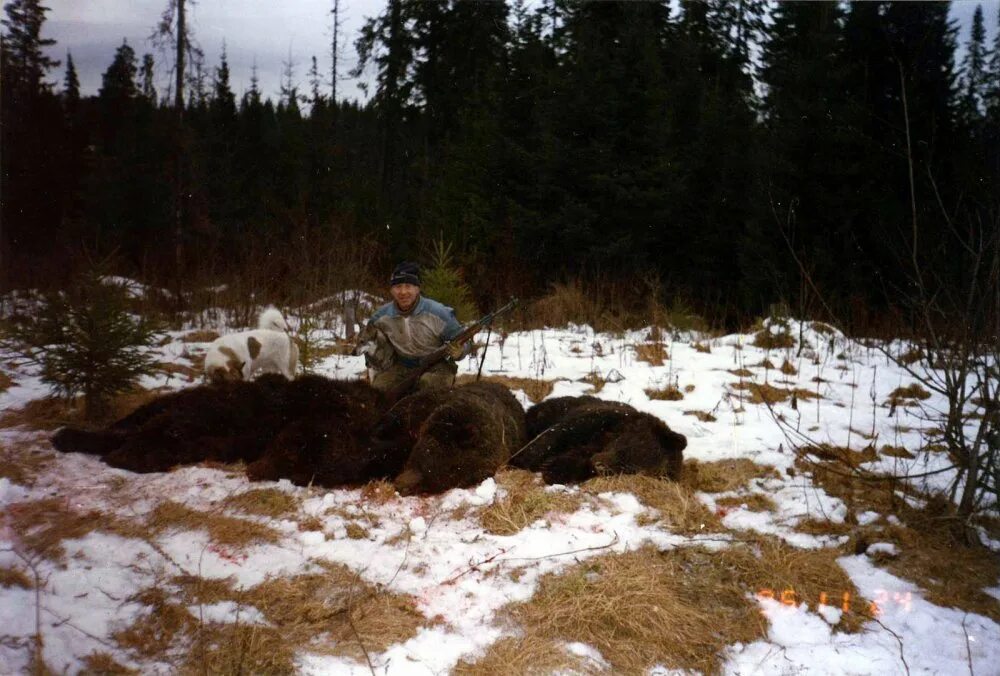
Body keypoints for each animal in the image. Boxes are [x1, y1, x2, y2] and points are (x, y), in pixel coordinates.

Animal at [512, 396, 684, 486]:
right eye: (625, 445)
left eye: (631, 469)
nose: (600, 463)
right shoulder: (592, 421)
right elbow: (551, 440)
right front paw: (522, 460)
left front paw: (554, 469)